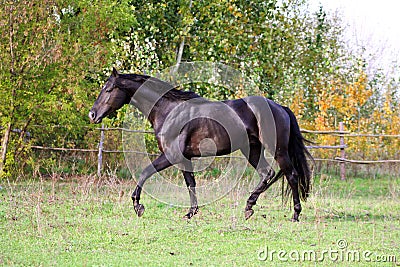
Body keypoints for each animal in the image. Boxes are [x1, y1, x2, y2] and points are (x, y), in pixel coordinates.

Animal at [88, 68, 312, 222]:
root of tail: (280, 107)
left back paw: (295, 215)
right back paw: (249, 207)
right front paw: (191, 213)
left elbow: (145, 172)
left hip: (278, 150)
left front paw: (138, 206)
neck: (169, 111)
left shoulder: (171, 156)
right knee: (267, 173)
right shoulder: (184, 158)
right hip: (252, 149)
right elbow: (191, 183)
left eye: (108, 89)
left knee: (291, 176)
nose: (92, 114)